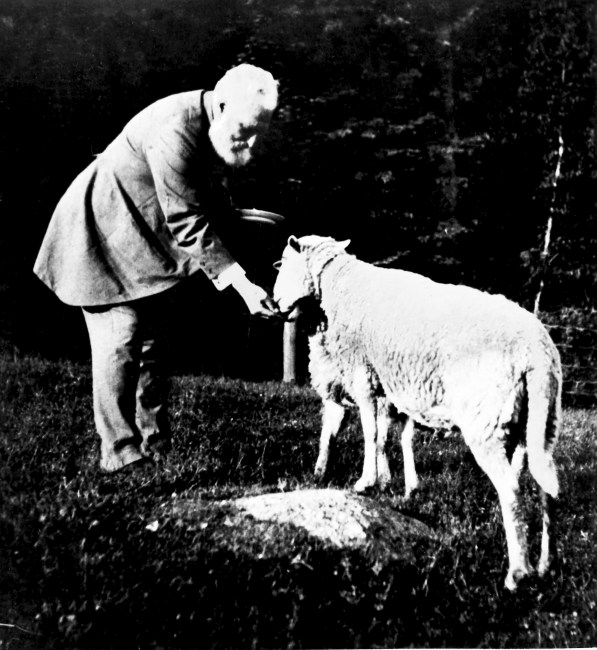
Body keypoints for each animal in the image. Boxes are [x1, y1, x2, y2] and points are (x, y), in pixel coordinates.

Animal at [272, 233, 560, 588]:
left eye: (283, 263)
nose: (276, 302)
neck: (342, 286)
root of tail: (537, 349)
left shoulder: (362, 374)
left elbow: (370, 431)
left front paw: (365, 482)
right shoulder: (386, 386)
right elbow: (383, 436)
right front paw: (385, 483)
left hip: (485, 418)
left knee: (511, 487)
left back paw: (517, 573)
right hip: (538, 420)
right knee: (545, 482)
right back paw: (545, 565)